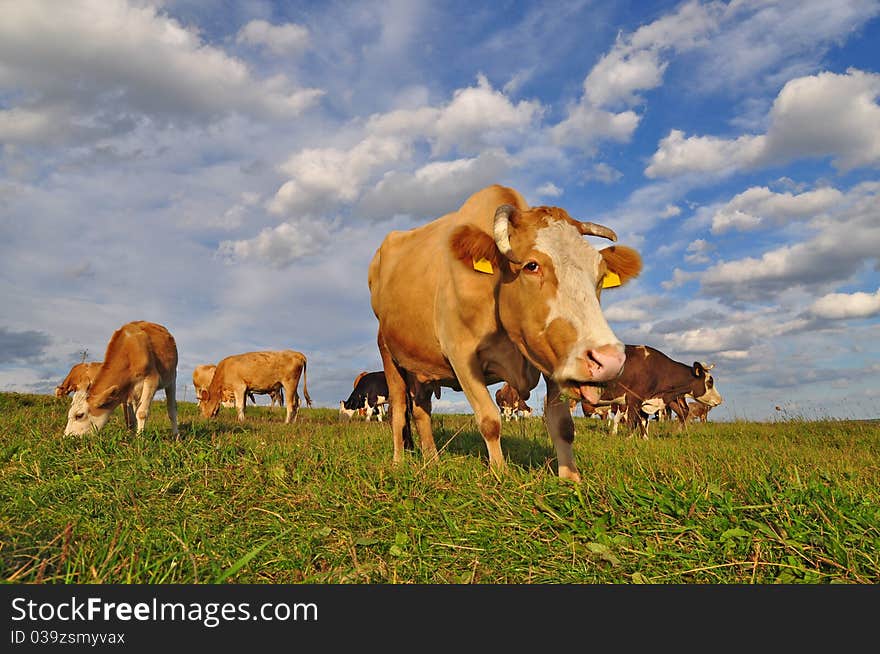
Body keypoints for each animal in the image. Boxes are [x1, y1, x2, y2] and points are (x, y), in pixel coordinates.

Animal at [368, 184, 644, 482]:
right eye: (531, 265)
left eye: (601, 274)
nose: (610, 359)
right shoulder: (460, 355)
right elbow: (490, 420)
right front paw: (500, 474)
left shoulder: (551, 355)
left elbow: (562, 424)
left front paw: (570, 478)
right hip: (387, 352)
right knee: (398, 410)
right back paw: (398, 462)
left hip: (421, 366)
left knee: (421, 410)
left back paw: (432, 460)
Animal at [588, 344, 724, 440]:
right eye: (710, 382)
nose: (720, 400)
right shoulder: (633, 399)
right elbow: (633, 422)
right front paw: (629, 439)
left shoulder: (648, 401)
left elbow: (643, 421)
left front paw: (644, 438)